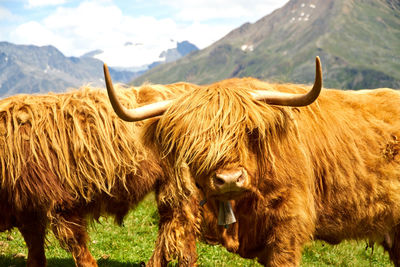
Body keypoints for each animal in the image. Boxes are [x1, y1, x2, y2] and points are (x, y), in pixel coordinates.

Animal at [0, 82, 200, 266]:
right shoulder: (28, 210)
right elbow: (35, 250)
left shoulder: (60, 203)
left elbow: (76, 244)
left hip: (177, 182)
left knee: (177, 222)